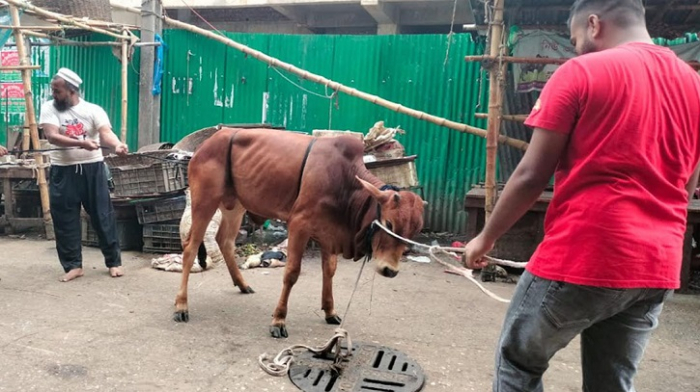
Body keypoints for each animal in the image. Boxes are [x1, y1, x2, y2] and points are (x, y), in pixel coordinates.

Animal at [175, 128, 426, 336]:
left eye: (414, 231)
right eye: (389, 223)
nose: (390, 270)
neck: (345, 183)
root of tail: (207, 144)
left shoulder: (329, 233)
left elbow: (329, 270)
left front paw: (330, 311)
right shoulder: (299, 224)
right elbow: (292, 273)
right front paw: (278, 321)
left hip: (236, 206)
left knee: (225, 241)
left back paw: (242, 284)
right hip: (204, 200)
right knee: (190, 248)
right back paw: (181, 305)